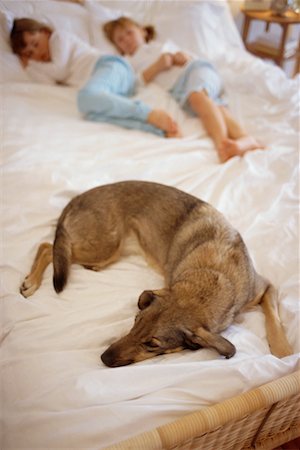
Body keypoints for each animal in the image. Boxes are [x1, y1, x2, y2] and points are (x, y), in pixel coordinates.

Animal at [19, 179, 292, 366]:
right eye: (135, 322)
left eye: (151, 344)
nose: (104, 358)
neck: (213, 276)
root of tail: (76, 198)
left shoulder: (266, 287)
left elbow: (273, 317)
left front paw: (283, 349)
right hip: (106, 247)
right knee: (48, 247)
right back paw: (31, 283)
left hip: (108, 250)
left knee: (51, 247)